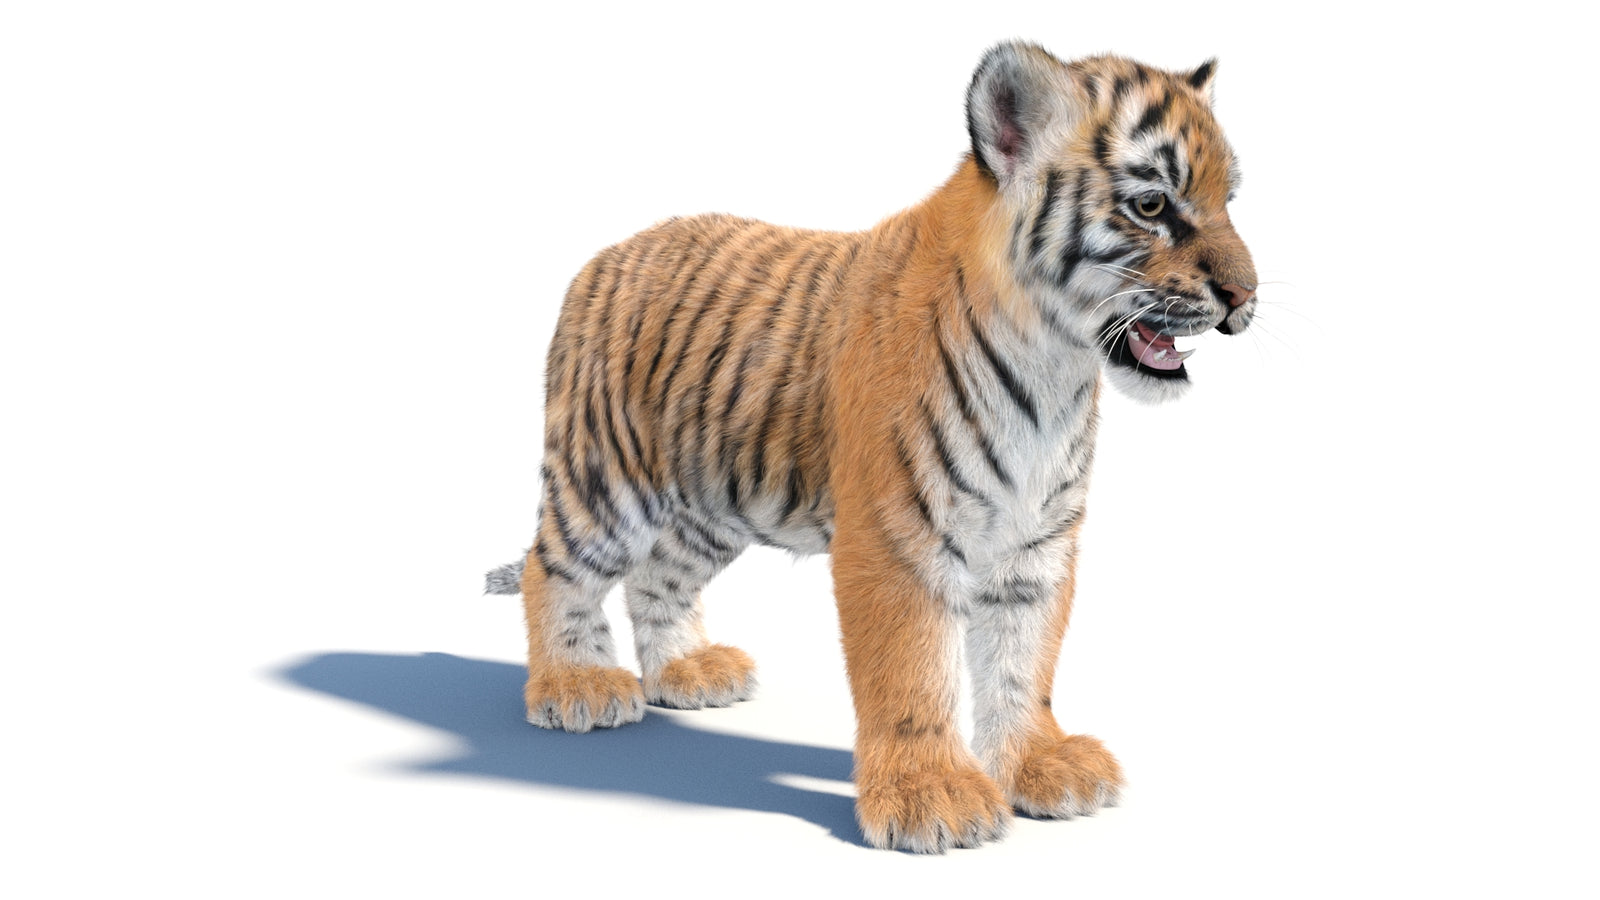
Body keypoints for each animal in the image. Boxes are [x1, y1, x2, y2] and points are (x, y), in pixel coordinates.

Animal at [486, 40, 1257, 852]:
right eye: (1152, 206)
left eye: (1229, 200)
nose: (1247, 295)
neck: (1054, 368)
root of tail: (603, 256)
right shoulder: (897, 538)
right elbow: (912, 668)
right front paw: (932, 797)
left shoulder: (1036, 543)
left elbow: (1024, 660)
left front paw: (1039, 765)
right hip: (606, 481)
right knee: (552, 568)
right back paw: (576, 687)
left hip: (712, 507)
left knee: (656, 578)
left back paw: (689, 671)